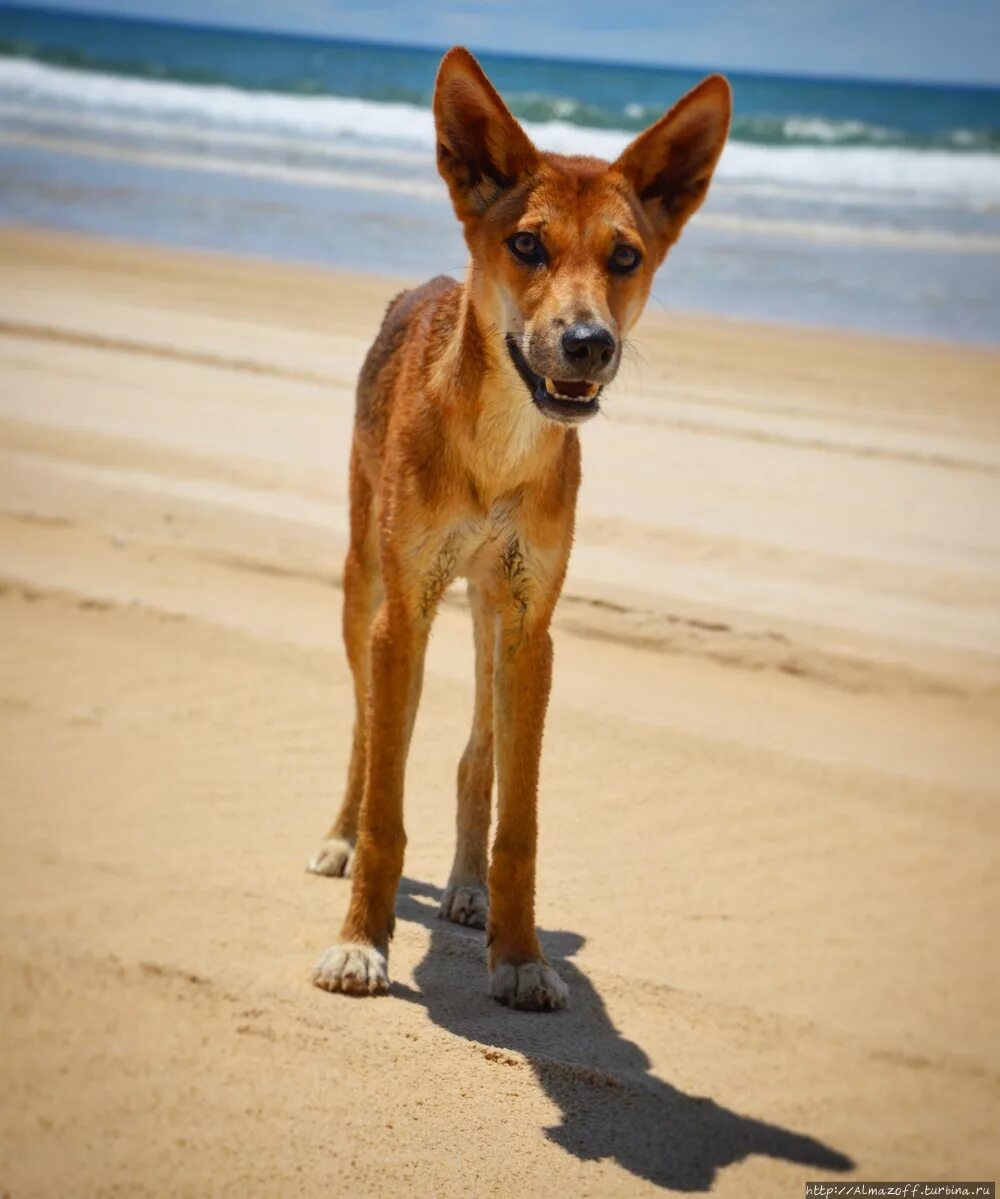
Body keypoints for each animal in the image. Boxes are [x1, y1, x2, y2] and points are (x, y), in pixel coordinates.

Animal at [306, 49, 729, 1011]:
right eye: (528, 245)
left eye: (624, 256)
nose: (588, 343)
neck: (498, 450)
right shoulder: (402, 615)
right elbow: (386, 800)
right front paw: (361, 941)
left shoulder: (534, 627)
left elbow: (518, 816)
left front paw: (520, 952)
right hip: (364, 588)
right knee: (363, 733)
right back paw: (340, 836)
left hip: (492, 614)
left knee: (475, 758)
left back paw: (467, 889)